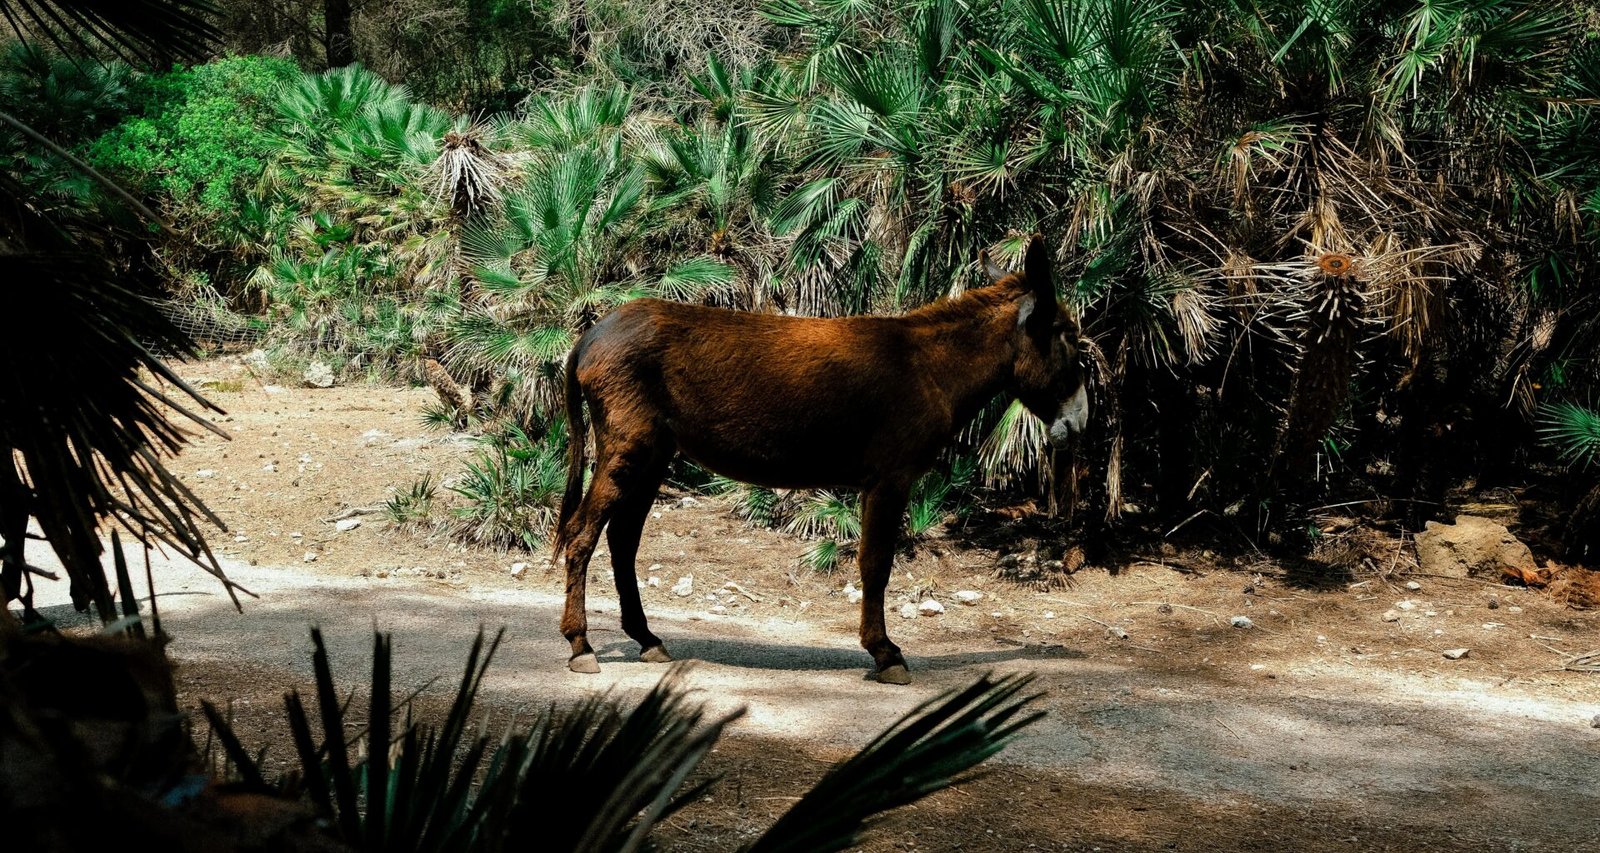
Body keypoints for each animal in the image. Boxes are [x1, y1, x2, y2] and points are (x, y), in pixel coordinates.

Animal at [551, 235, 1088, 684]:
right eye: (1070, 336)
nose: (1082, 423)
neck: (930, 367)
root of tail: (591, 335)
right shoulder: (891, 478)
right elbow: (876, 562)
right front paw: (886, 654)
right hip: (627, 446)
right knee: (581, 533)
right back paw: (581, 646)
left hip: (654, 454)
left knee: (622, 540)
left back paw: (646, 639)